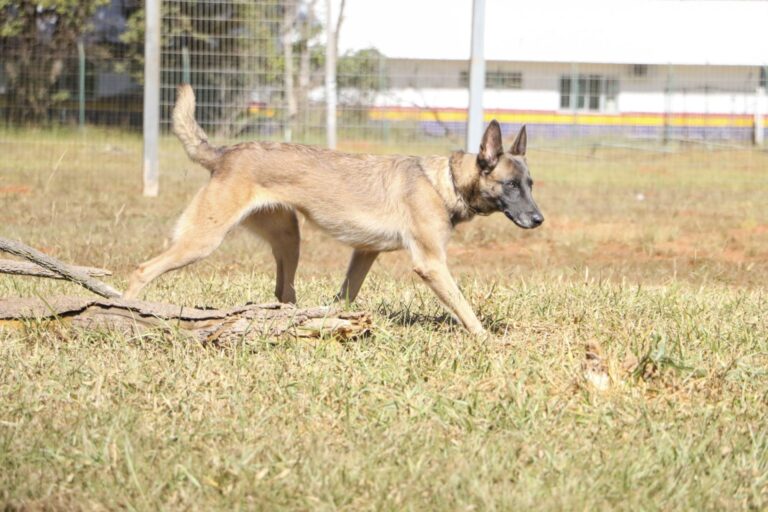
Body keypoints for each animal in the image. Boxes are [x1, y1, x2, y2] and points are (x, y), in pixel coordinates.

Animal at [126, 86, 544, 334]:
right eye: (510, 185)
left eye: (531, 184)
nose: (539, 220)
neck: (445, 182)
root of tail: (226, 153)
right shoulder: (431, 264)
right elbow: (464, 307)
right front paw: (488, 340)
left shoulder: (365, 253)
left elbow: (344, 296)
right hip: (202, 240)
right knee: (142, 270)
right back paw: (126, 309)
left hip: (289, 239)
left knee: (283, 292)